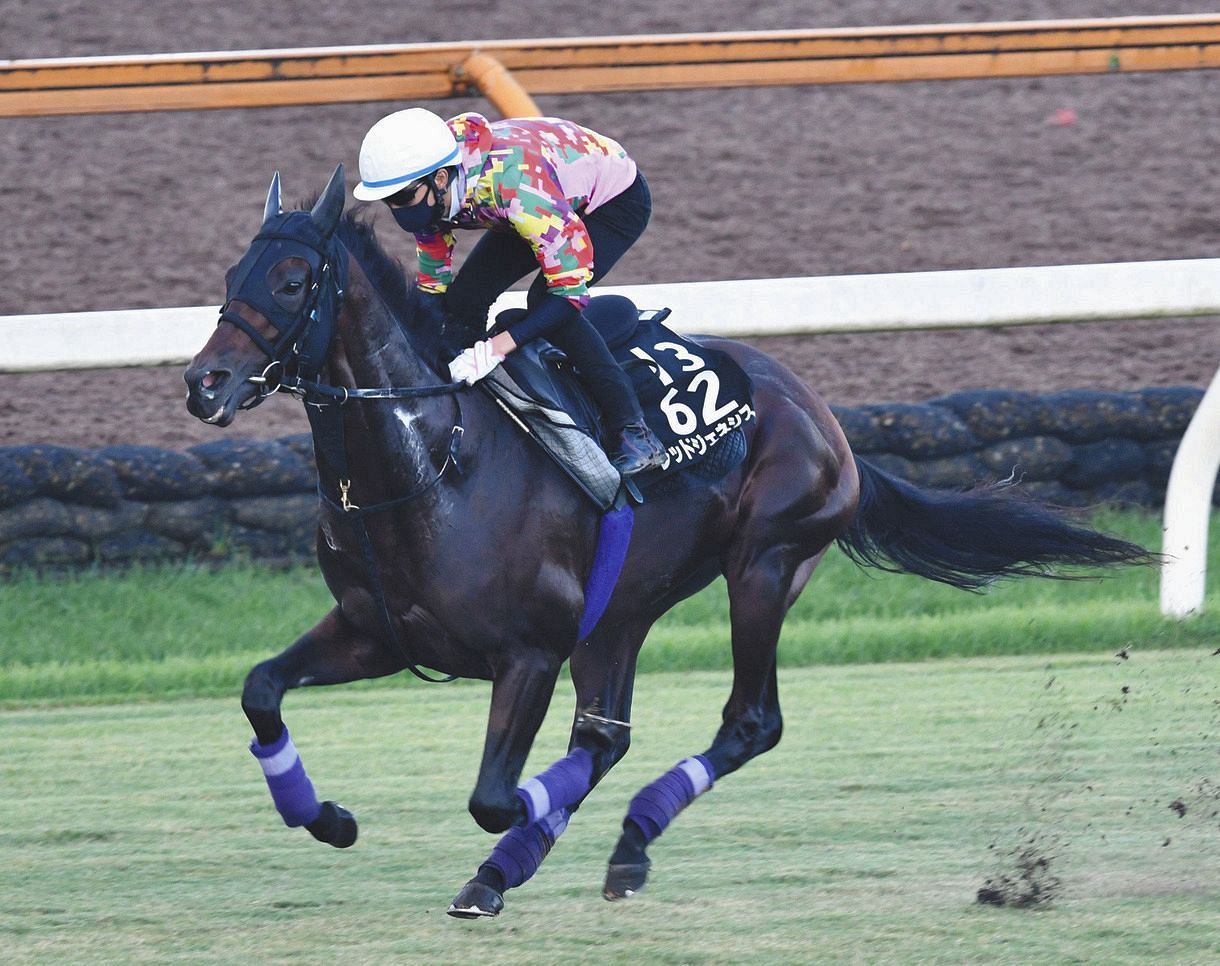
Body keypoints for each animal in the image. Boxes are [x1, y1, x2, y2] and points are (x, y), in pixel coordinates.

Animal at [184, 164, 1152, 918]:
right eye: (233, 269)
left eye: (293, 280)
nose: (206, 383)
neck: (431, 462)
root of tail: (823, 415)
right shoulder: (377, 629)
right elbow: (261, 689)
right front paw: (330, 819)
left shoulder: (530, 651)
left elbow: (495, 796)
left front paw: (518, 834)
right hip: (625, 609)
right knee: (608, 737)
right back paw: (529, 865)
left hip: (764, 564)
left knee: (746, 723)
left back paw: (622, 842)